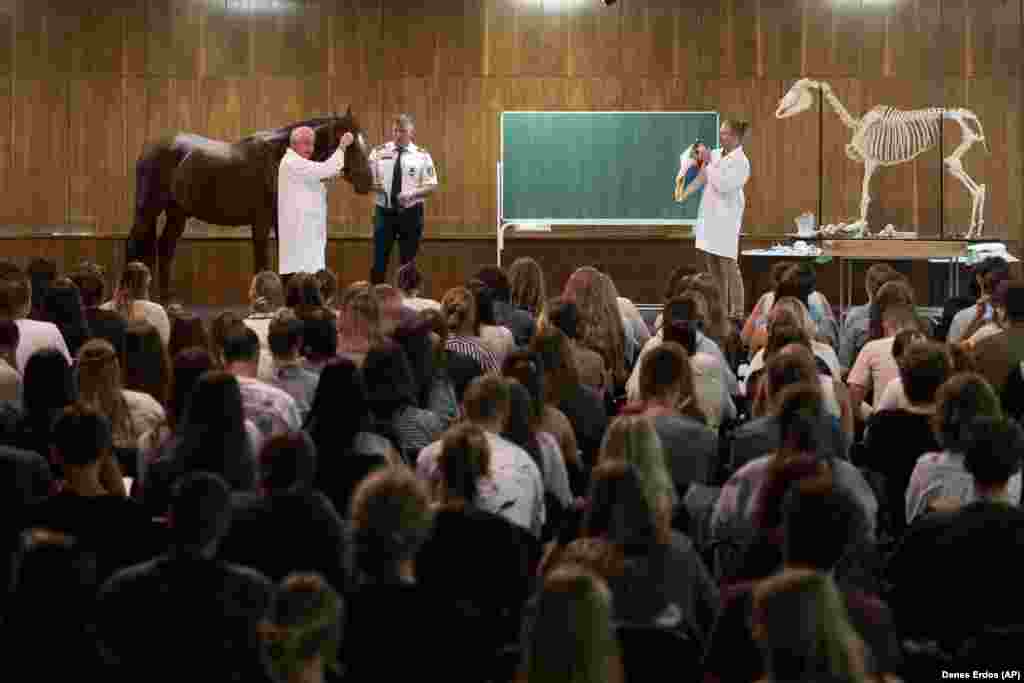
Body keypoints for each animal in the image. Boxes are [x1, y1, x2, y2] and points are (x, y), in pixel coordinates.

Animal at [124, 108, 372, 296]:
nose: (368, 181)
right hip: (148, 209)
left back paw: (166, 299)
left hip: (178, 212)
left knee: (165, 247)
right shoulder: (261, 221)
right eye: (349, 143)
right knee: (133, 243)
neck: (278, 159)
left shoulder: (279, 220)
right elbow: (262, 263)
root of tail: (150, 148)